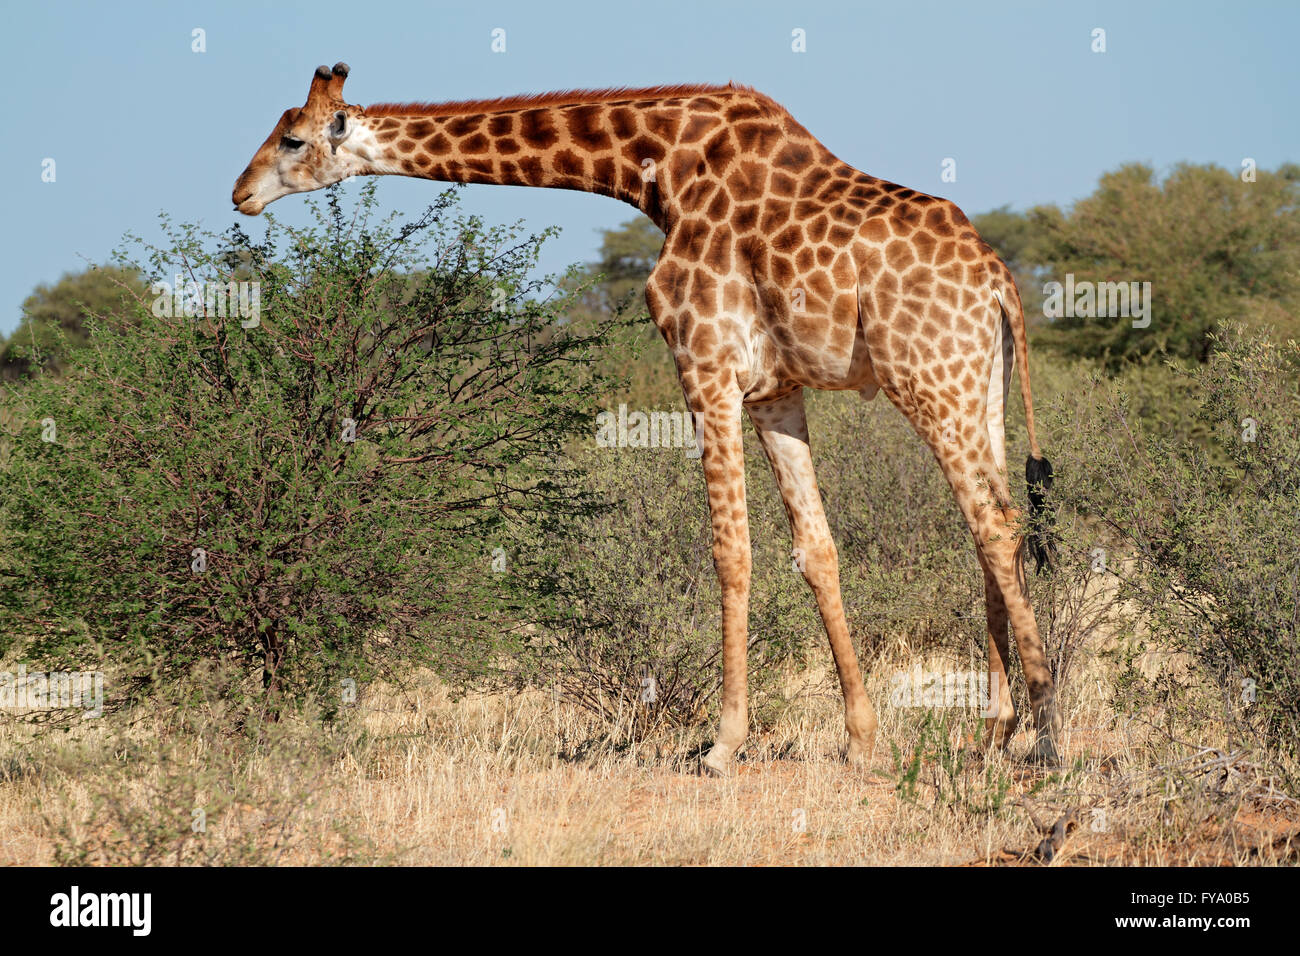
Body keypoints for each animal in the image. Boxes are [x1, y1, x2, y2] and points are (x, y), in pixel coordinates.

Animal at [233, 63, 1060, 775]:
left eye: (293, 138)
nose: (239, 192)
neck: (652, 172)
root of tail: (999, 279)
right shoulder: (774, 387)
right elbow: (816, 550)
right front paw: (862, 740)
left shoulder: (706, 362)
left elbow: (732, 552)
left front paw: (723, 745)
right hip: (977, 385)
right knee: (993, 524)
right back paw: (993, 730)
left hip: (927, 377)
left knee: (994, 523)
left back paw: (1046, 732)